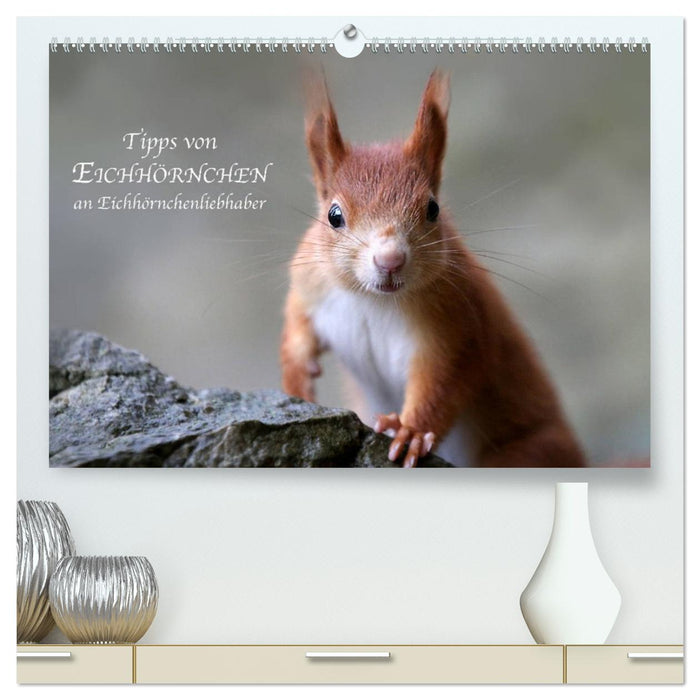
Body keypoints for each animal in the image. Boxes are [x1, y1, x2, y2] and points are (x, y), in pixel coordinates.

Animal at [280, 70, 586, 468]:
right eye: (334, 215)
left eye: (433, 208)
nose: (390, 260)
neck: (372, 300)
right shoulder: (310, 284)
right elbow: (296, 325)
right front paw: (296, 376)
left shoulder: (457, 323)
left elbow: (443, 382)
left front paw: (410, 432)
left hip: (529, 453)